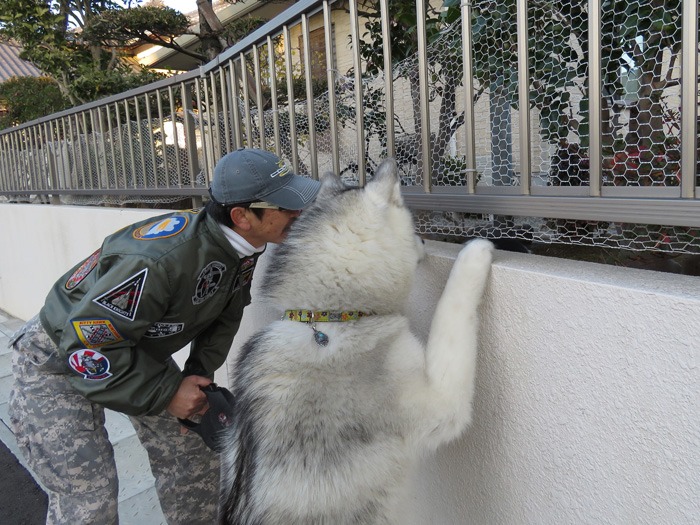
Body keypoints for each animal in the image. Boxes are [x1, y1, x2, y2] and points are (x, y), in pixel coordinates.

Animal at [221, 158, 494, 520]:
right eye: (409, 221)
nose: (424, 241)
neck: (329, 318)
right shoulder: (440, 403)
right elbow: (453, 308)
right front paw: (475, 252)